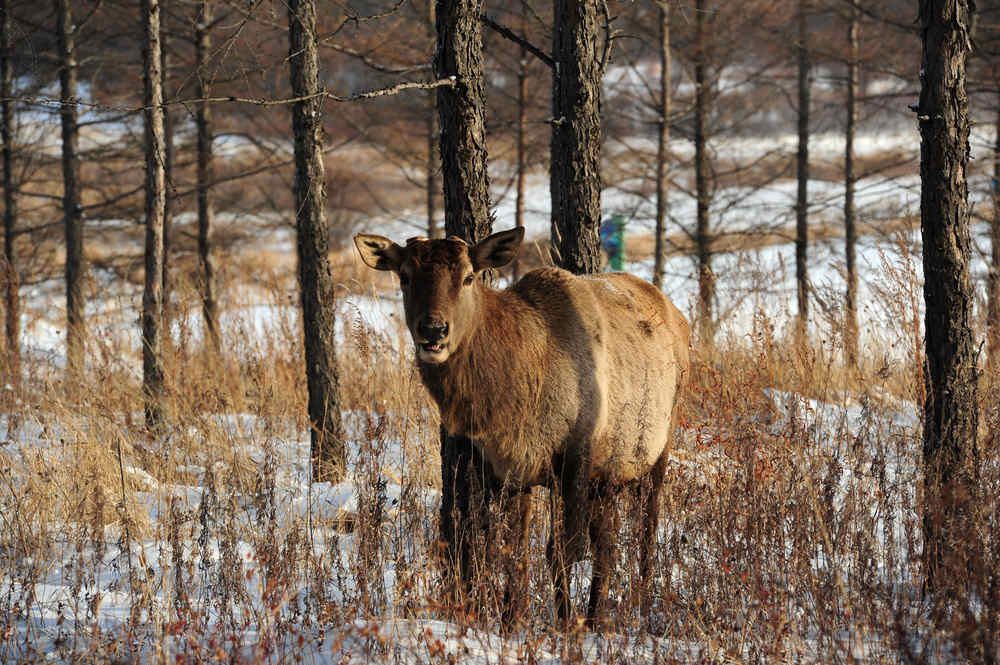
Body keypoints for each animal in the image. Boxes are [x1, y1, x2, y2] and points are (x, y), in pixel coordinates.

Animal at [356, 227, 692, 624]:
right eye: (405, 276)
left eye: (468, 277)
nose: (433, 331)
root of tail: (680, 318)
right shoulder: (510, 472)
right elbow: (510, 552)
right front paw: (510, 621)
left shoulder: (576, 455)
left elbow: (563, 551)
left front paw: (566, 626)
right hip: (607, 478)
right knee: (608, 547)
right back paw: (597, 616)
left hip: (658, 449)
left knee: (645, 537)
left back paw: (638, 608)